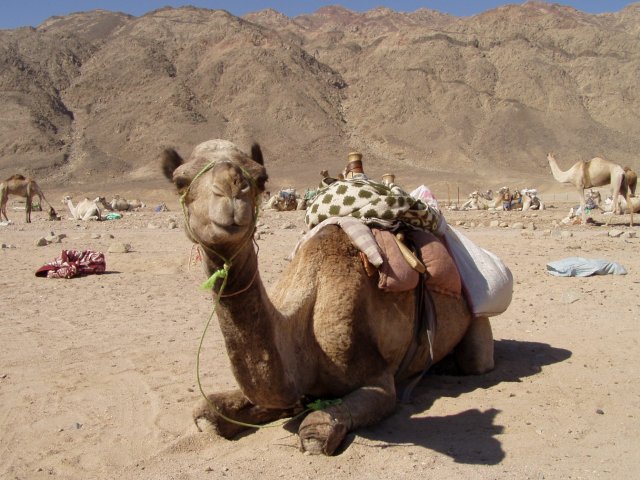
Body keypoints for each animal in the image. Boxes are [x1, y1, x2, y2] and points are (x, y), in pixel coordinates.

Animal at [161, 139, 495, 455]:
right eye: (180, 180)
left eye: (260, 178)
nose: (231, 188)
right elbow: (206, 413)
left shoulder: (379, 381)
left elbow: (315, 432)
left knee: (475, 360)